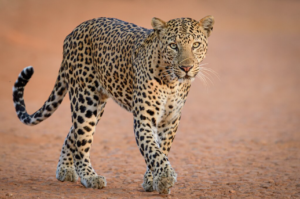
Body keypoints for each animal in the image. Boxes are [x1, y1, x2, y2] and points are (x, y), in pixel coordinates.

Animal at [11, 15, 213, 194]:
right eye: (173, 46)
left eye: (196, 45)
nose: (186, 68)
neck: (172, 83)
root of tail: (73, 32)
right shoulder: (144, 119)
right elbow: (152, 150)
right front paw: (164, 177)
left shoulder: (170, 121)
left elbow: (161, 149)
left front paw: (154, 181)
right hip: (85, 101)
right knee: (81, 142)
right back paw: (90, 177)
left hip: (96, 105)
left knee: (73, 134)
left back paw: (65, 170)